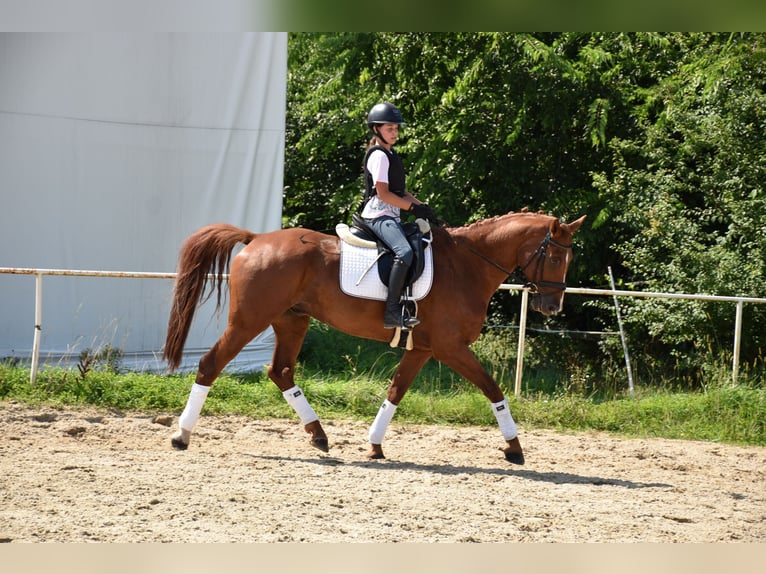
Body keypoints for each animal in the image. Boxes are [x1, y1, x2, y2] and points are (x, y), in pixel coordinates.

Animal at [164, 212, 588, 468]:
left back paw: (319, 435)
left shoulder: (425, 348)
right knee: (211, 364)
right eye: (555, 258)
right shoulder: (451, 348)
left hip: (292, 321)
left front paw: (374, 445)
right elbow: (492, 388)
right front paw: (514, 448)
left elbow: (396, 391)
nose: (552, 307)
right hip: (250, 320)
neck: (467, 265)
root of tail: (256, 239)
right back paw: (182, 435)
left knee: (281, 371)